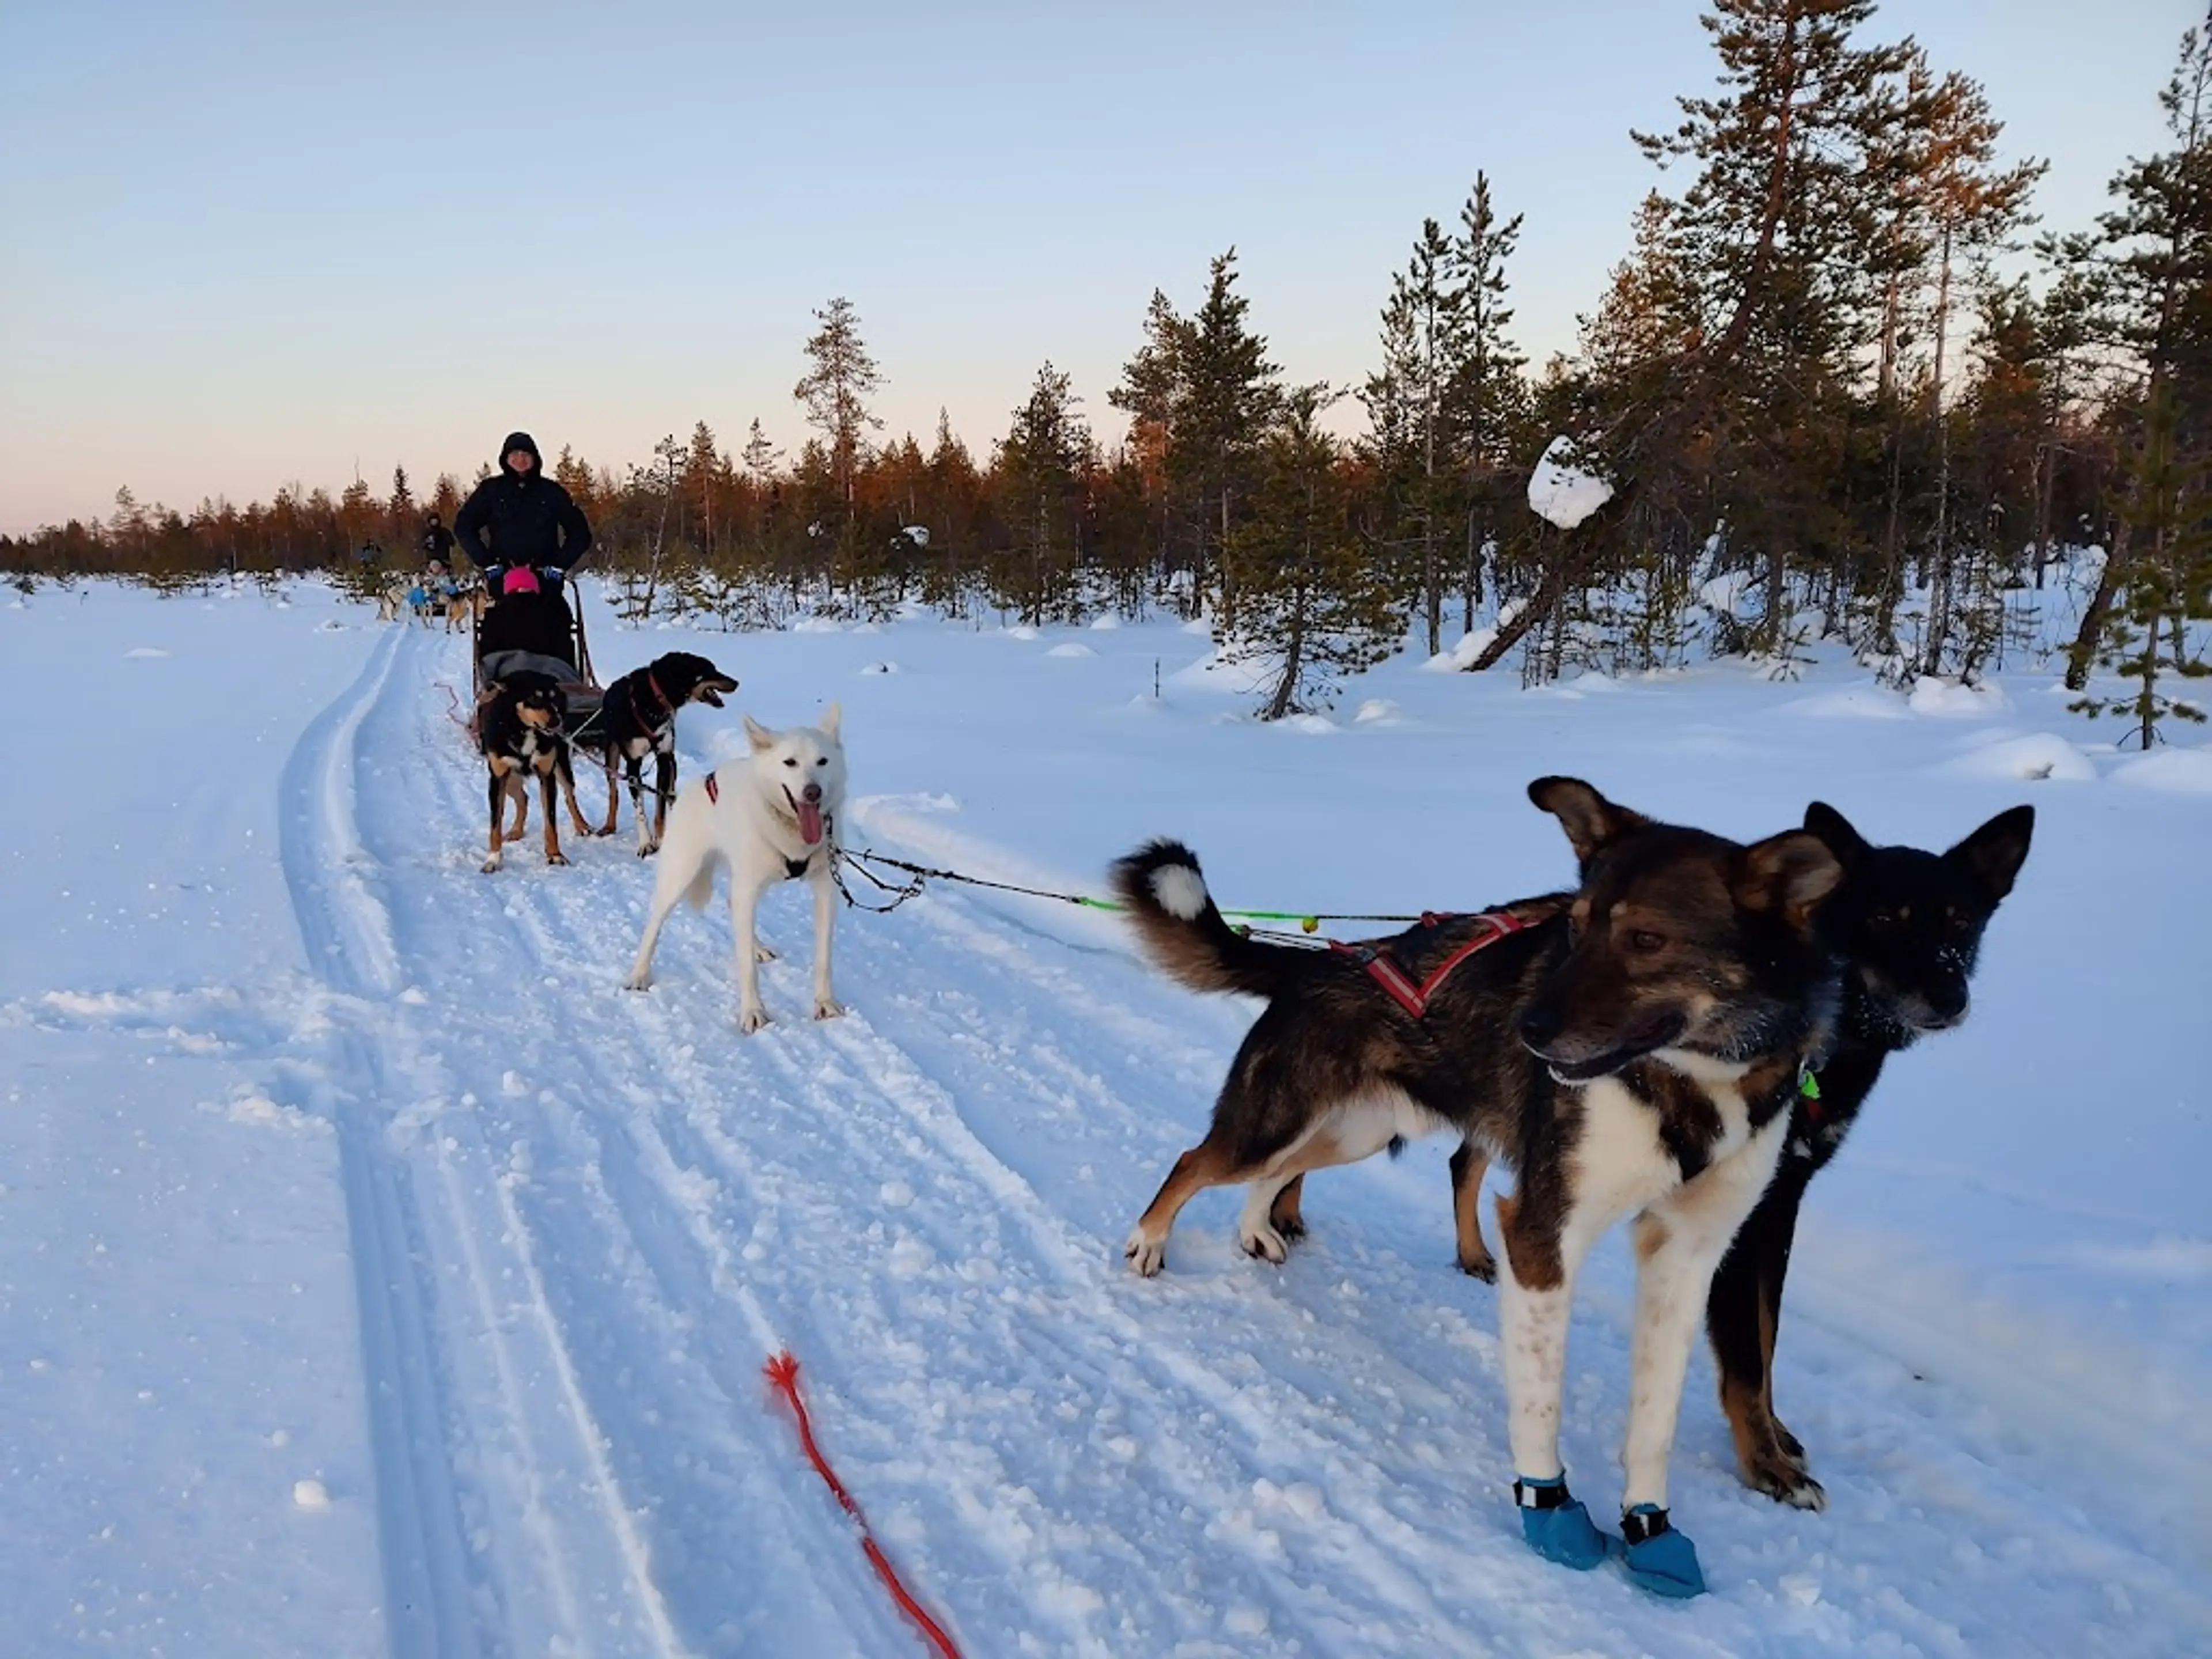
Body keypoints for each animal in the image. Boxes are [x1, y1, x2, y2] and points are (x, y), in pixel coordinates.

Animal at [632, 703, 854, 1039]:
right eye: (790, 762)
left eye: (823, 761)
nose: (813, 792)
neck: (790, 833)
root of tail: (694, 787)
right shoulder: (748, 890)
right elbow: (746, 967)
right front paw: (753, 1012)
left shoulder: (826, 889)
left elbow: (823, 959)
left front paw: (825, 1003)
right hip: (680, 875)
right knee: (655, 923)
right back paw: (639, 973)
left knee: (732, 905)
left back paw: (758, 947)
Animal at [1115, 783, 1840, 1601]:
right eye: (1575, 927)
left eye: (1647, 939)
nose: (1529, 1030)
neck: (1686, 1080)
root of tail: (1317, 966)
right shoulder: (1542, 1233)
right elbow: (1541, 1400)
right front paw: (1549, 1510)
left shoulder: (1687, 1254)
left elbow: (1655, 1419)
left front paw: (1650, 1526)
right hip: (1274, 1123)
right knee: (1195, 1160)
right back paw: (1149, 1242)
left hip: (1354, 1132)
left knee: (1275, 1174)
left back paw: (1254, 1230)